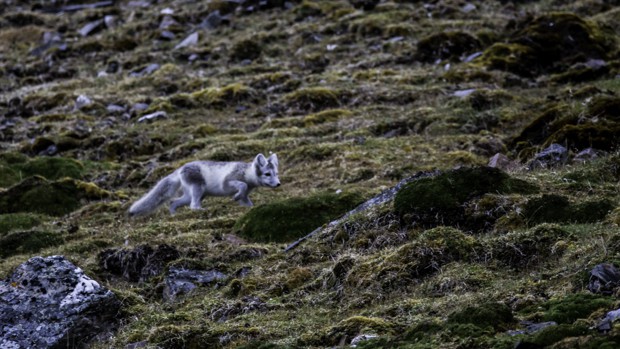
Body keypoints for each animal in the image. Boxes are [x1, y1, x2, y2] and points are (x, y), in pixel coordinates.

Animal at [128, 152, 280, 215]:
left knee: (174, 202)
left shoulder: (246, 194)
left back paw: (173, 214)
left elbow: (246, 200)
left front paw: (250, 208)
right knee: (192, 206)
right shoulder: (227, 182)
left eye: (276, 173)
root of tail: (180, 168)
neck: (247, 174)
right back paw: (201, 210)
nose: (278, 184)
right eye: (267, 174)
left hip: (192, 194)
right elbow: (242, 186)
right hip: (198, 189)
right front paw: (235, 197)